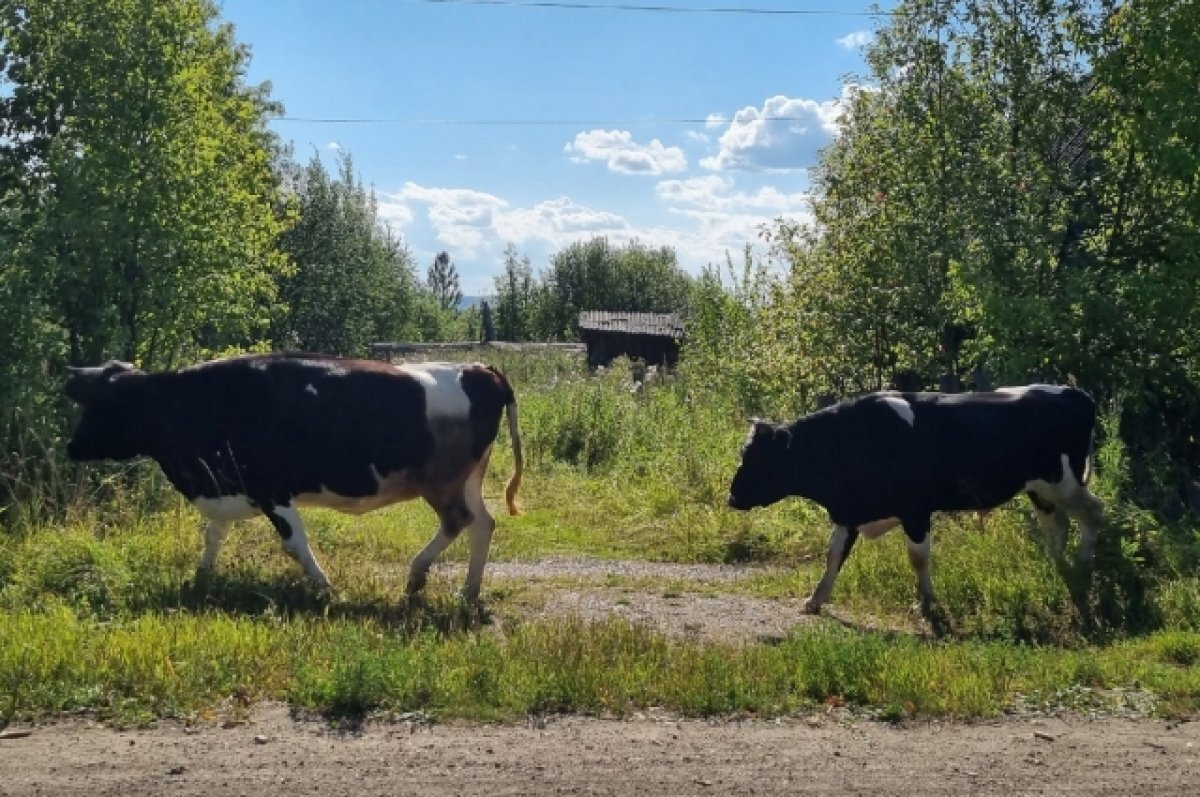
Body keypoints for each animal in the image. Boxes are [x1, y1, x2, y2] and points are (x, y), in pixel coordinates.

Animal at [65, 352, 523, 600]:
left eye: (103, 404)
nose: (71, 447)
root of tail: (481, 369)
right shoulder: (228, 488)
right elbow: (214, 536)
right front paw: (199, 580)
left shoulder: (272, 490)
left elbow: (295, 545)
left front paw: (326, 588)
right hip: (469, 479)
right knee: (484, 523)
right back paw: (468, 591)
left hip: (443, 483)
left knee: (459, 521)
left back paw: (415, 576)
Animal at [724, 386, 1099, 628]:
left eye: (760, 458)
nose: (732, 497)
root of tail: (1075, 393)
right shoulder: (849, 511)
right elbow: (833, 555)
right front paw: (815, 601)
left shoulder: (916, 510)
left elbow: (918, 558)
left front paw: (927, 604)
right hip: (1040, 489)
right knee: (1057, 524)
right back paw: (1056, 564)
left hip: (1065, 483)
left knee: (1093, 513)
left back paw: (1082, 565)